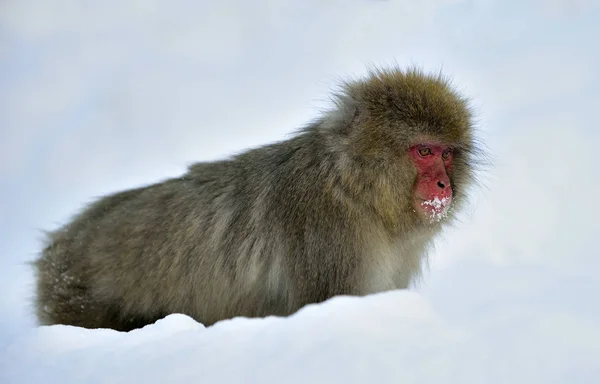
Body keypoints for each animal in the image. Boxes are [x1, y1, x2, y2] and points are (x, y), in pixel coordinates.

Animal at [34, 66, 482, 330]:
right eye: (423, 151)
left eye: (447, 154)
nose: (444, 185)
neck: (354, 187)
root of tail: (61, 242)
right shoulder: (328, 229)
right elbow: (331, 303)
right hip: (75, 297)